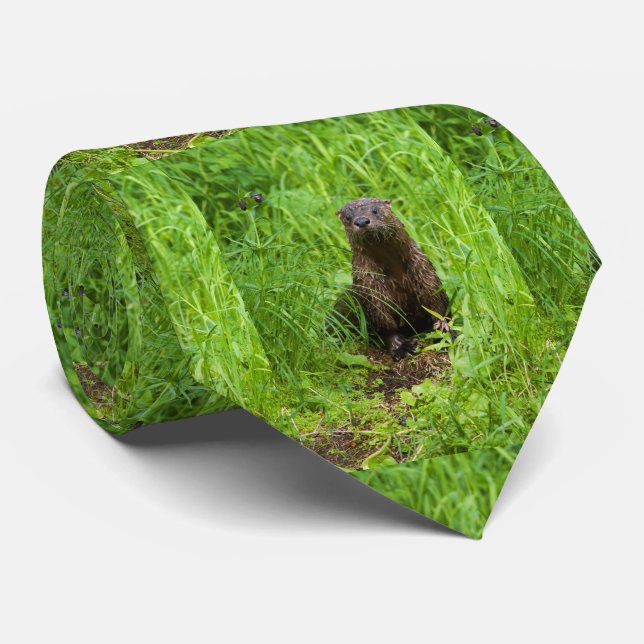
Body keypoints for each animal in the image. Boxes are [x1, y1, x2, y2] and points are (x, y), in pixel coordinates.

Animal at [336, 197, 451, 360]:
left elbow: (438, 305)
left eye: (375, 210)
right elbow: (384, 323)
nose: (361, 221)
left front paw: (443, 330)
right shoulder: (371, 288)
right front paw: (401, 347)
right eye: (347, 217)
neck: (397, 276)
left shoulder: (427, 276)